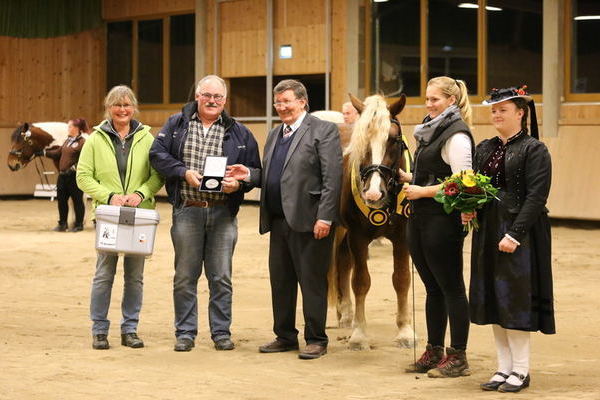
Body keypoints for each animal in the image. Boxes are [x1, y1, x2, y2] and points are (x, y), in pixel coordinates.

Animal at [328, 94, 418, 350]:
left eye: (393, 140)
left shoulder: (402, 238)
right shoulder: (358, 236)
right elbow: (360, 281)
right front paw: (359, 334)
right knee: (343, 264)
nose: (373, 193)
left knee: (344, 261)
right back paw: (346, 316)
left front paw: (405, 332)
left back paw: (346, 314)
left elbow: (402, 280)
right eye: (362, 142)